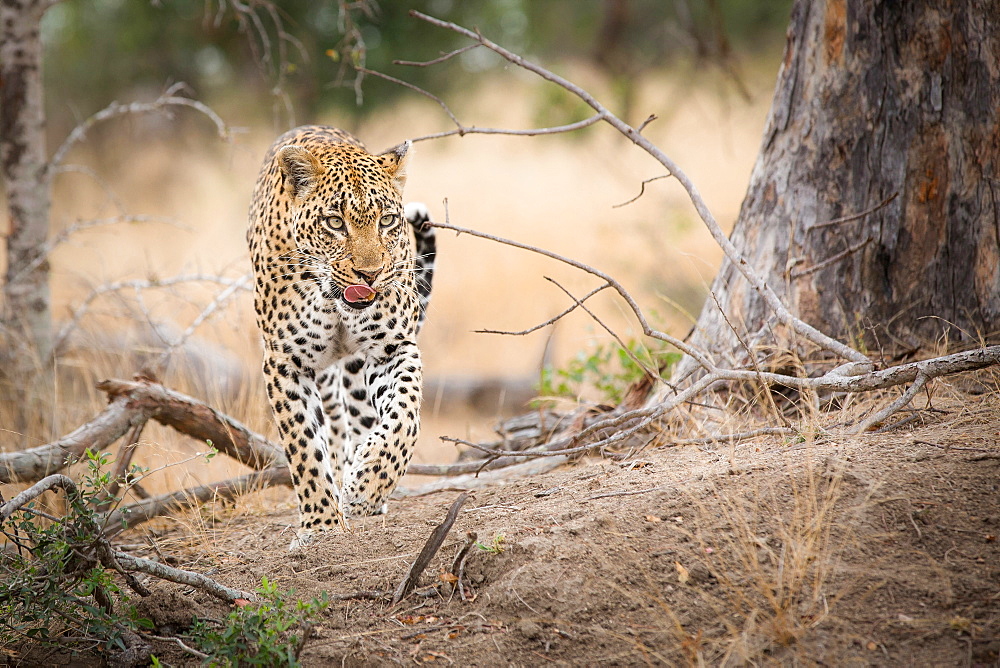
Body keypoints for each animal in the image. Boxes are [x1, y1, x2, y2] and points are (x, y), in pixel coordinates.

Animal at [246, 125, 434, 548]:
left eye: (387, 220)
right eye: (334, 222)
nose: (370, 274)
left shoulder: (393, 348)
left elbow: (405, 417)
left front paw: (368, 483)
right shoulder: (284, 363)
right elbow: (303, 445)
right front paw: (322, 525)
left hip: (356, 373)